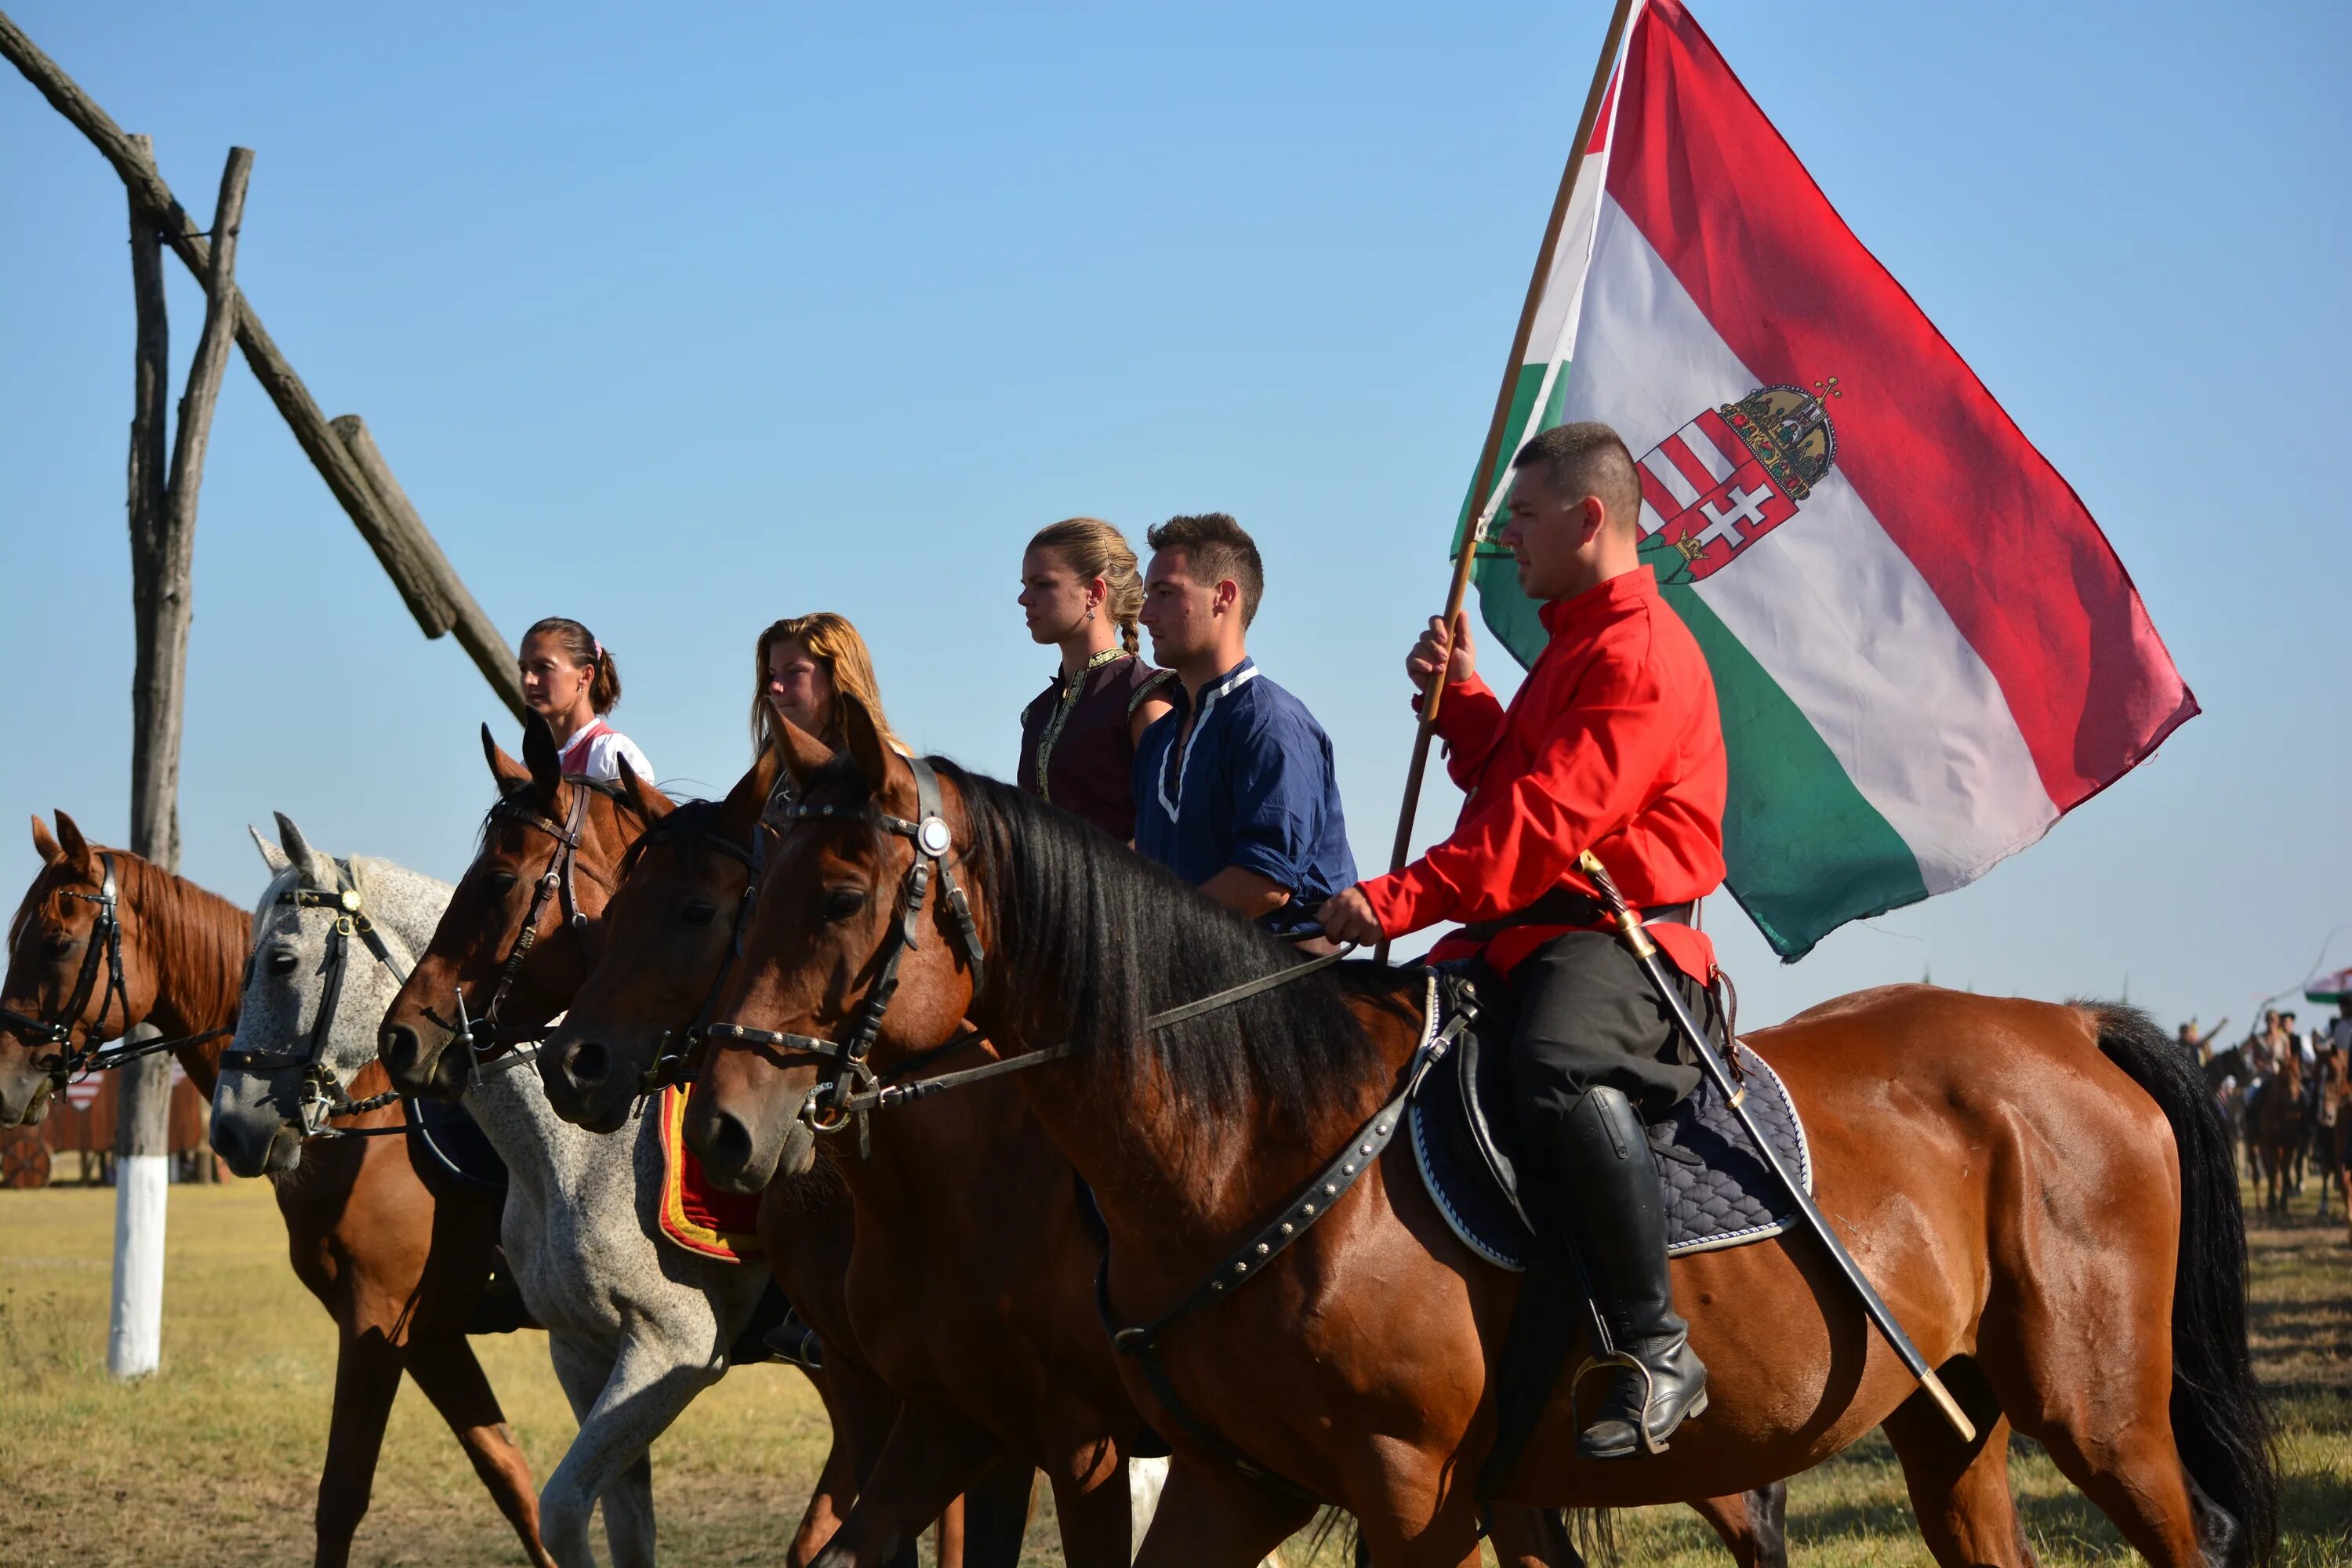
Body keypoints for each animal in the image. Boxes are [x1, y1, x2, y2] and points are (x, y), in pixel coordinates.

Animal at [682, 710, 2277, 1568]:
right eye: (738, 894)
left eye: (838, 894)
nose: (723, 1131)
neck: (1256, 1142)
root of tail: (2066, 1026)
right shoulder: (1222, 1478)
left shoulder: (1410, 1495)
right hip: (1953, 1421)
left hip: (2101, 1413)